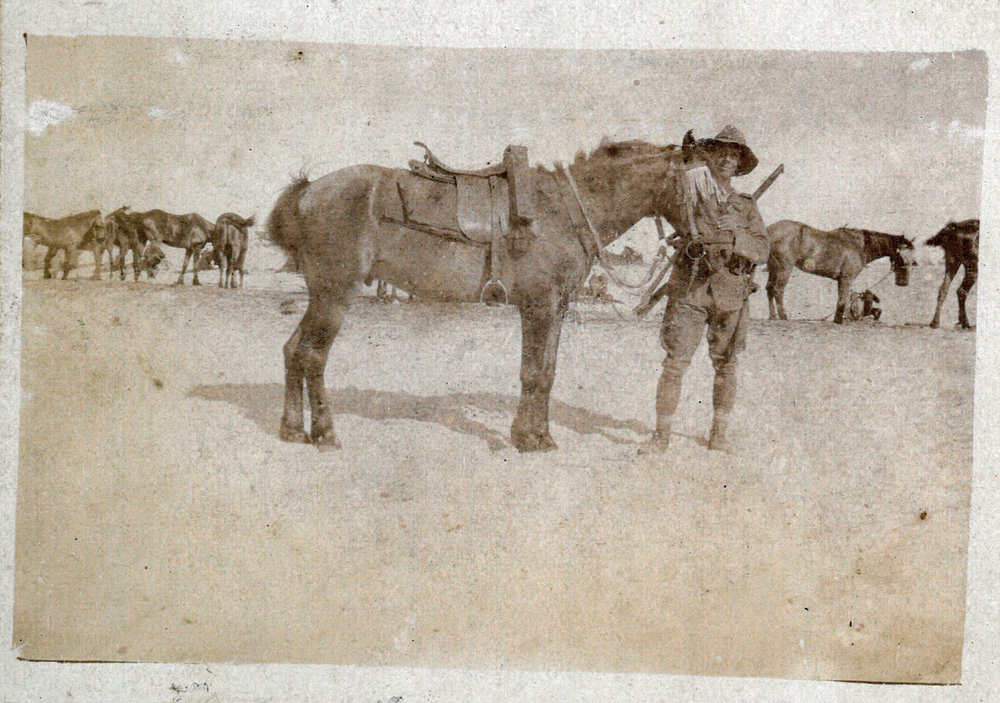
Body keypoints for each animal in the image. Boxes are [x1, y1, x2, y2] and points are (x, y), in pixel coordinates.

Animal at [267, 138, 693, 451]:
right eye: (700, 182)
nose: (707, 239)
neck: (564, 210)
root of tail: (308, 191)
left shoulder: (555, 306)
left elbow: (546, 372)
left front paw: (539, 436)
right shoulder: (539, 306)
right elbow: (533, 373)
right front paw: (529, 439)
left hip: (321, 296)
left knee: (293, 350)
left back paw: (292, 429)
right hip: (335, 295)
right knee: (313, 356)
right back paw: (325, 433)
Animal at [765, 220, 916, 324]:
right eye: (902, 254)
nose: (904, 282)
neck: (859, 245)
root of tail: (769, 231)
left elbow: (845, 299)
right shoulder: (846, 278)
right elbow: (843, 299)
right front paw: (839, 320)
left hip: (774, 269)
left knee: (770, 290)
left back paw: (772, 317)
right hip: (784, 269)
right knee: (778, 291)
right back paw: (783, 316)